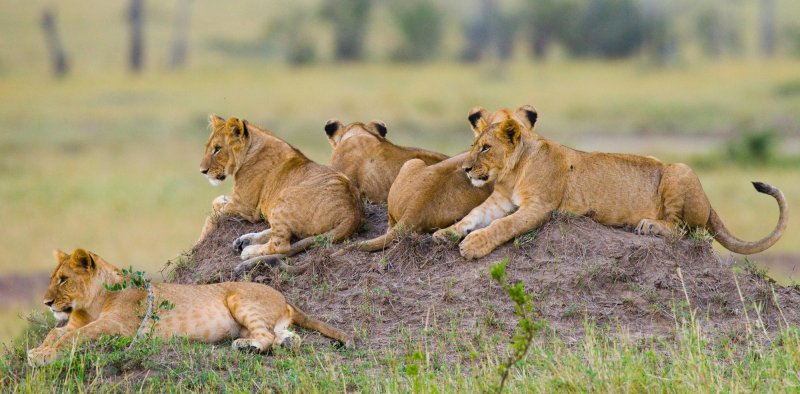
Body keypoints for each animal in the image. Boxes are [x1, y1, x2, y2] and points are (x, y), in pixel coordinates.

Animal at [26, 249, 352, 366]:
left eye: (64, 280)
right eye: (53, 278)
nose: (46, 302)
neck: (90, 305)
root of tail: (285, 299)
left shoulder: (116, 326)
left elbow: (73, 337)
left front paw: (42, 356)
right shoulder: (76, 322)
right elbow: (56, 333)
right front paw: (39, 349)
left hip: (239, 298)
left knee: (267, 337)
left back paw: (247, 347)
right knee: (287, 337)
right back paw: (281, 344)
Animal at [200, 114, 362, 268]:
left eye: (217, 149)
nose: (203, 171)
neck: (252, 147)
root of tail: (352, 213)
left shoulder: (244, 206)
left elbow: (212, 216)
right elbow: (217, 201)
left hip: (283, 198)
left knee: (281, 245)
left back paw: (248, 250)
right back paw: (245, 240)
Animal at [434, 104, 792, 258]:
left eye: (485, 148)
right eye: (473, 145)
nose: (466, 169)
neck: (512, 172)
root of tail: (709, 203)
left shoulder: (540, 207)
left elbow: (503, 226)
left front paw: (474, 245)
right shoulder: (500, 201)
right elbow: (473, 215)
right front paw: (444, 233)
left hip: (680, 171)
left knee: (684, 229)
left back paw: (649, 225)